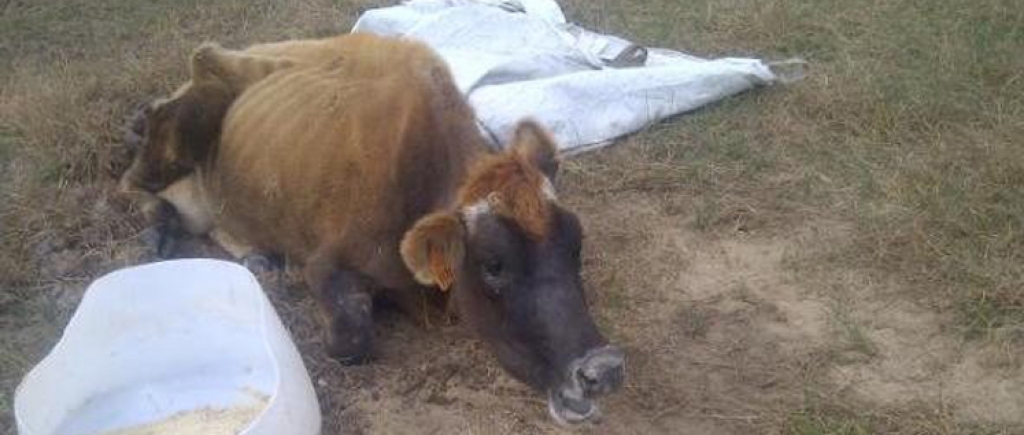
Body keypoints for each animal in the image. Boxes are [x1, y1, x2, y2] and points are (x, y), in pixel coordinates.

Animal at [120, 35, 622, 421]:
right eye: (494, 265)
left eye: (576, 247)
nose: (603, 370)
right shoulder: (325, 265)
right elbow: (351, 340)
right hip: (178, 128)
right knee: (131, 183)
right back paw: (160, 230)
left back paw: (258, 256)